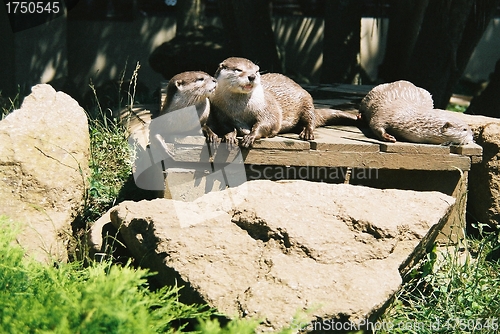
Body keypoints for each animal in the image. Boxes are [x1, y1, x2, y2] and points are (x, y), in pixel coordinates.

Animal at [208, 57, 360, 147]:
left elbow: (268, 123)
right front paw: (229, 136)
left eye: (256, 71)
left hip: (306, 100)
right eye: (238, 69)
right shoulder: (221, 112)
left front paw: (250, 136)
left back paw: (307, 133)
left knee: (310, 119)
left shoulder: (267, 108)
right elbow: (226, 126)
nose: (252, 76)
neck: (240, 110)